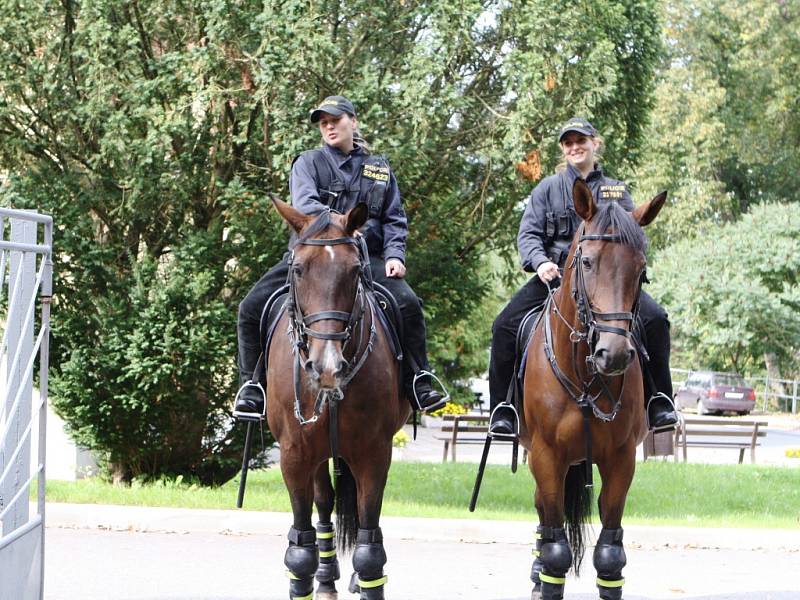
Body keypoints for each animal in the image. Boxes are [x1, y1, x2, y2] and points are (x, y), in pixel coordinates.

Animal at [268, 200, 410, 600]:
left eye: (354, 271)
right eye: (298, 269)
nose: (327, 366)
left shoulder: (374, 454)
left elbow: (369, 545)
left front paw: (367, 580)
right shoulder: (294, 455)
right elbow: (300, 548)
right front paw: (311, 578)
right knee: (324, 504)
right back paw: (327, 577)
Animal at [520, 179, 664, 600]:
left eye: (640, 270)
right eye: (586, 262)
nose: (613, 354)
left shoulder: (621, 460)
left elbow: (610, 554)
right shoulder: (546, 458)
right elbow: (555, 548)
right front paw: (545, 579)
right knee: (543, 522)